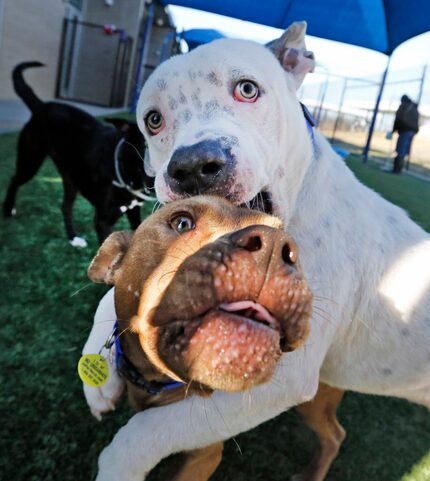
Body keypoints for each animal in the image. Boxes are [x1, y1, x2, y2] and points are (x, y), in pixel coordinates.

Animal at [2, 62, 155, 246]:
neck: (125, 167)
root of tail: (41, 106)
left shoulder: (134, 211)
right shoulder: (103, 221)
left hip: (71, 178)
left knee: (65, 206)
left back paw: (73, 238)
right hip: (30, 161)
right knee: (14, 179)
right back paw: (8, 209)